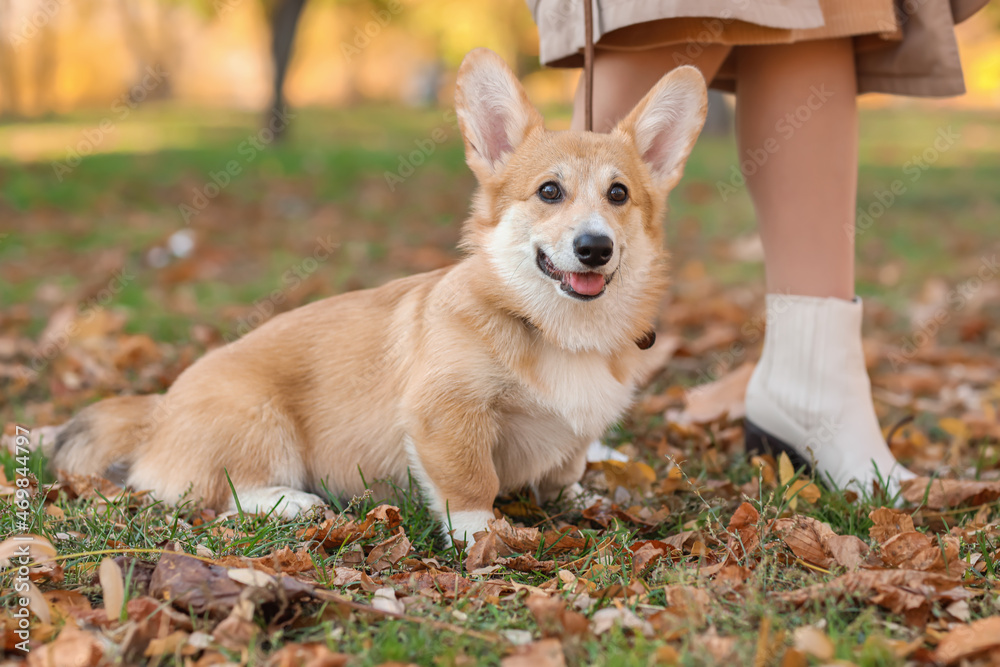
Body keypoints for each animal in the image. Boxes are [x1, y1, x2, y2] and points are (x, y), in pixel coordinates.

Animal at [50, 49, 708, 544]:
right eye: (550, 191)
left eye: (619, 194)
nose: (594, 247)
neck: (555, 327)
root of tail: (156, 412)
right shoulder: (445, 415)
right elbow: (470, 483)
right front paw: (483, 538)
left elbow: (567, 465)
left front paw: (577, 495)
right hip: (262, 423)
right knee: (225, 495)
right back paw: (293, 504)